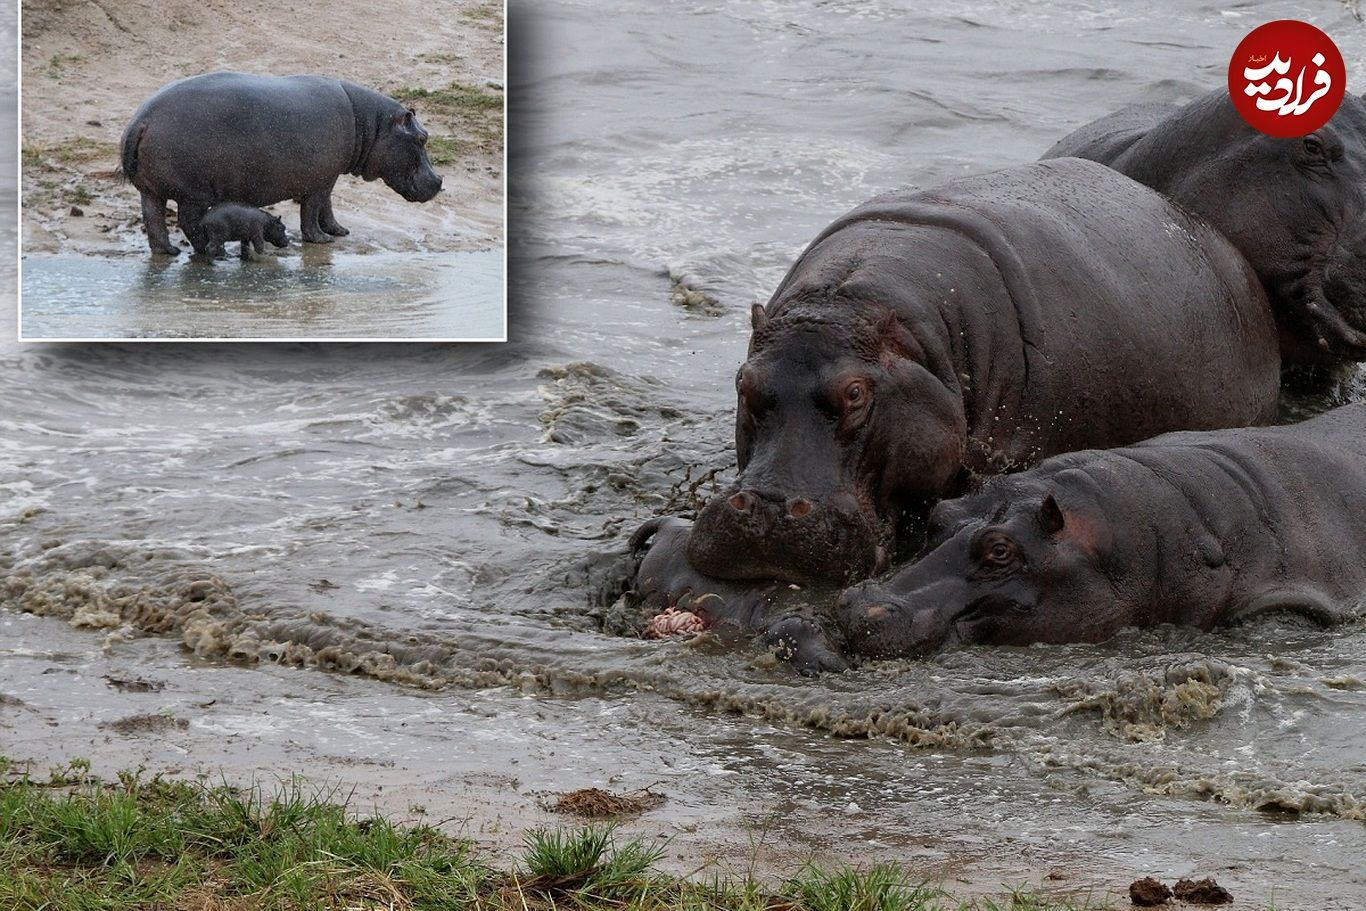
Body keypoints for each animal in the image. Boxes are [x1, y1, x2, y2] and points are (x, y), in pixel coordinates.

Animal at [120, 69, 442, 256]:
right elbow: (312, 210)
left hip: (150, 190)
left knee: (153, 219)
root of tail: (140, 120)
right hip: (194, 194)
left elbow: (327, 207)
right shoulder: (320, 179)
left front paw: (339, 231)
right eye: (422, 138)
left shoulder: (328, 175)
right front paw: (321, 240)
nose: (439, 181)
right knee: (188, 223)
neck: (372, 125)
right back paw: (209, 251)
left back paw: (169, 252)